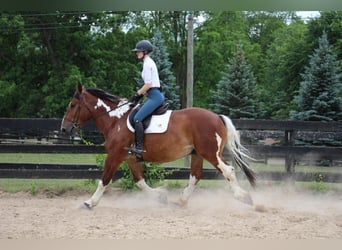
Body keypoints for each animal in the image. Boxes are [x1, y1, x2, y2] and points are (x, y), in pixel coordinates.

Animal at [60, 83, 256, 208]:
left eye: (73, 105)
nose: (64, 128)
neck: (116, 119)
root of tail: (217, 117)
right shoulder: (131, 158)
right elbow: (140, 181)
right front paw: (160, 196)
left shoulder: (115, 156)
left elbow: (104, 180)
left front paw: (90, 202)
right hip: (197, 154)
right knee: (195, 176)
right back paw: (181, 201)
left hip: (210, 153)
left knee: (227, 170)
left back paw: (245, 197)